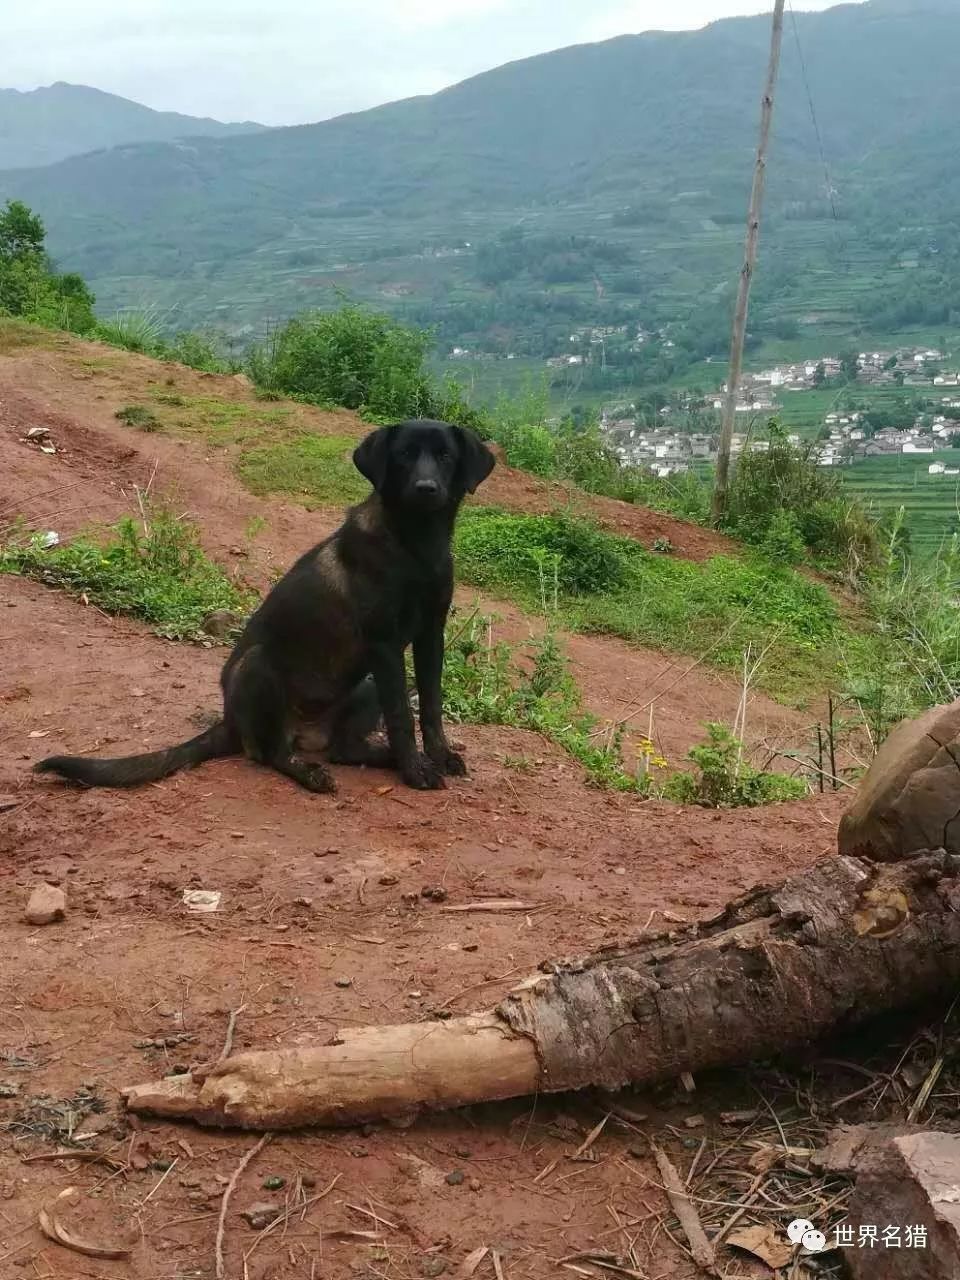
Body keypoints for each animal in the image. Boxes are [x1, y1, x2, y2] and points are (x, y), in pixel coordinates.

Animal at [32, 422, 496, 788]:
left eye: (445, 456)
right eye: (403, 455)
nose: (426, 489)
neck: (416, 547)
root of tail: (229, 723)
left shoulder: (430, 635)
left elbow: (431, 707)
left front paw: (437, 757)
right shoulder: (383, 644)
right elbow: (402, 716)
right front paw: (414, 770)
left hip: (363, 686)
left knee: (343, 751)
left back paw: (376, 757)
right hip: (259, 666)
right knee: (270, 754)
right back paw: (310, 773)